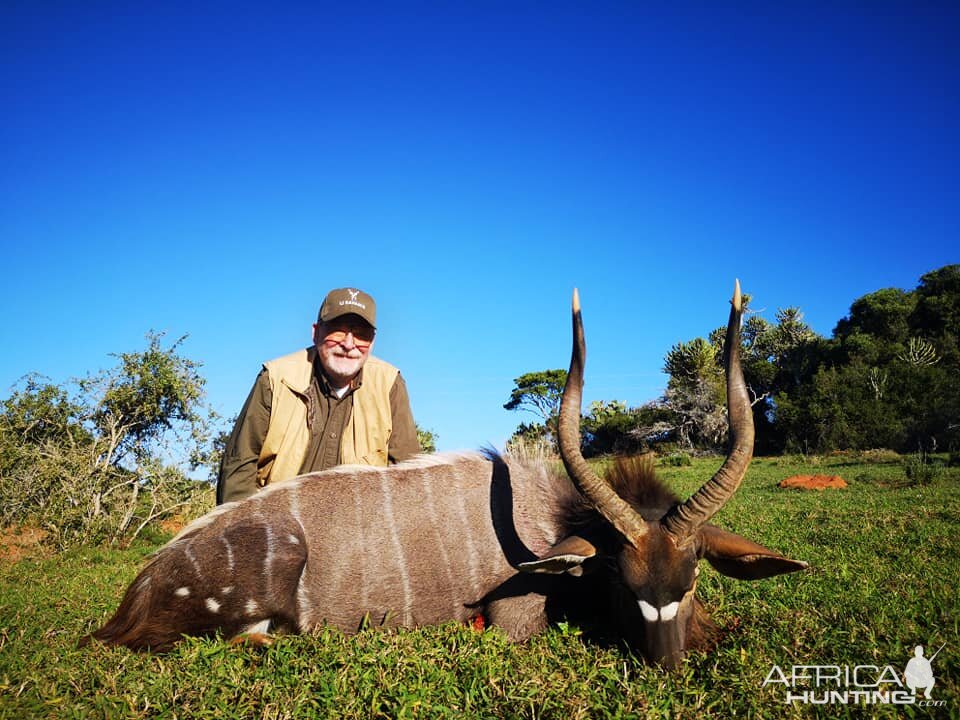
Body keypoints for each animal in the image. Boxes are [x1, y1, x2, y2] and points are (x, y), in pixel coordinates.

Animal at [82, 284, 808, 668]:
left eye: (691, 580)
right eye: (622, 582)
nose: (665, 664)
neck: (548, 520)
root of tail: (133, 598)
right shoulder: (517, 620)